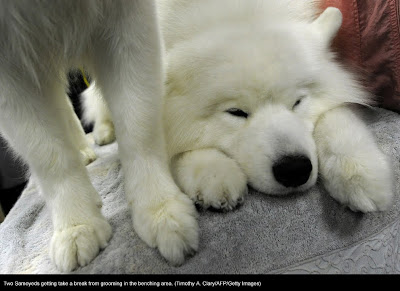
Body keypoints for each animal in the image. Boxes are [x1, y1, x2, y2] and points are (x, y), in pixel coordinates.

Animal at [0, 0, 198, 274]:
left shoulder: (129, 21)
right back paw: (86, 148)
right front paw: (76, 224)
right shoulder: (11, 69)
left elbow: (139, 129)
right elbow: (50, 157)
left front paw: (160, 209)